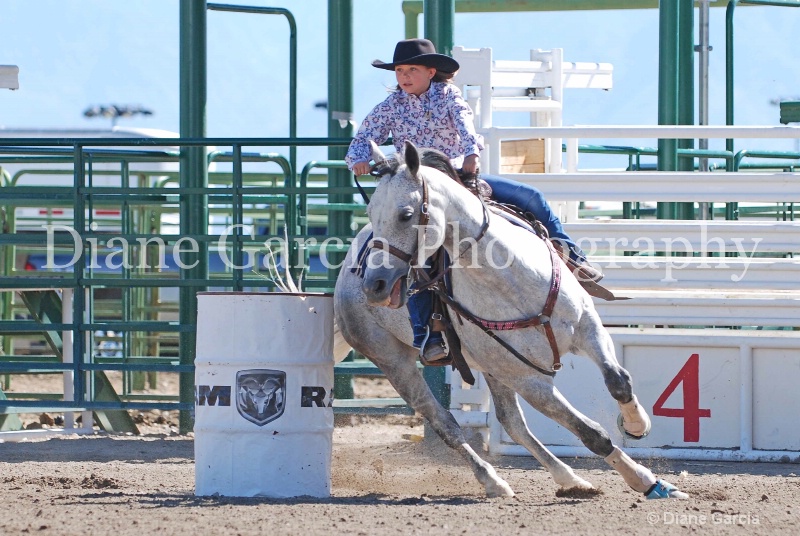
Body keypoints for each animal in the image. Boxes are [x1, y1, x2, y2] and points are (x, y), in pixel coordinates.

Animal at [332, 141, 688, 498]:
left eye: (405, 215)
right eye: (371, 213)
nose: (374, 285)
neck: (510, 278)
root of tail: (343, 277)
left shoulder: (587, 328)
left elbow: (618, 380)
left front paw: (638, 424)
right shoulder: (528, 379)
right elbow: (591, 433)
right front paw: (646, 481)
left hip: (492, 367)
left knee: (512, 423)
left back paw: (569, 478)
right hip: (397, 362)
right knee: (447, 424)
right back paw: (493, 481)